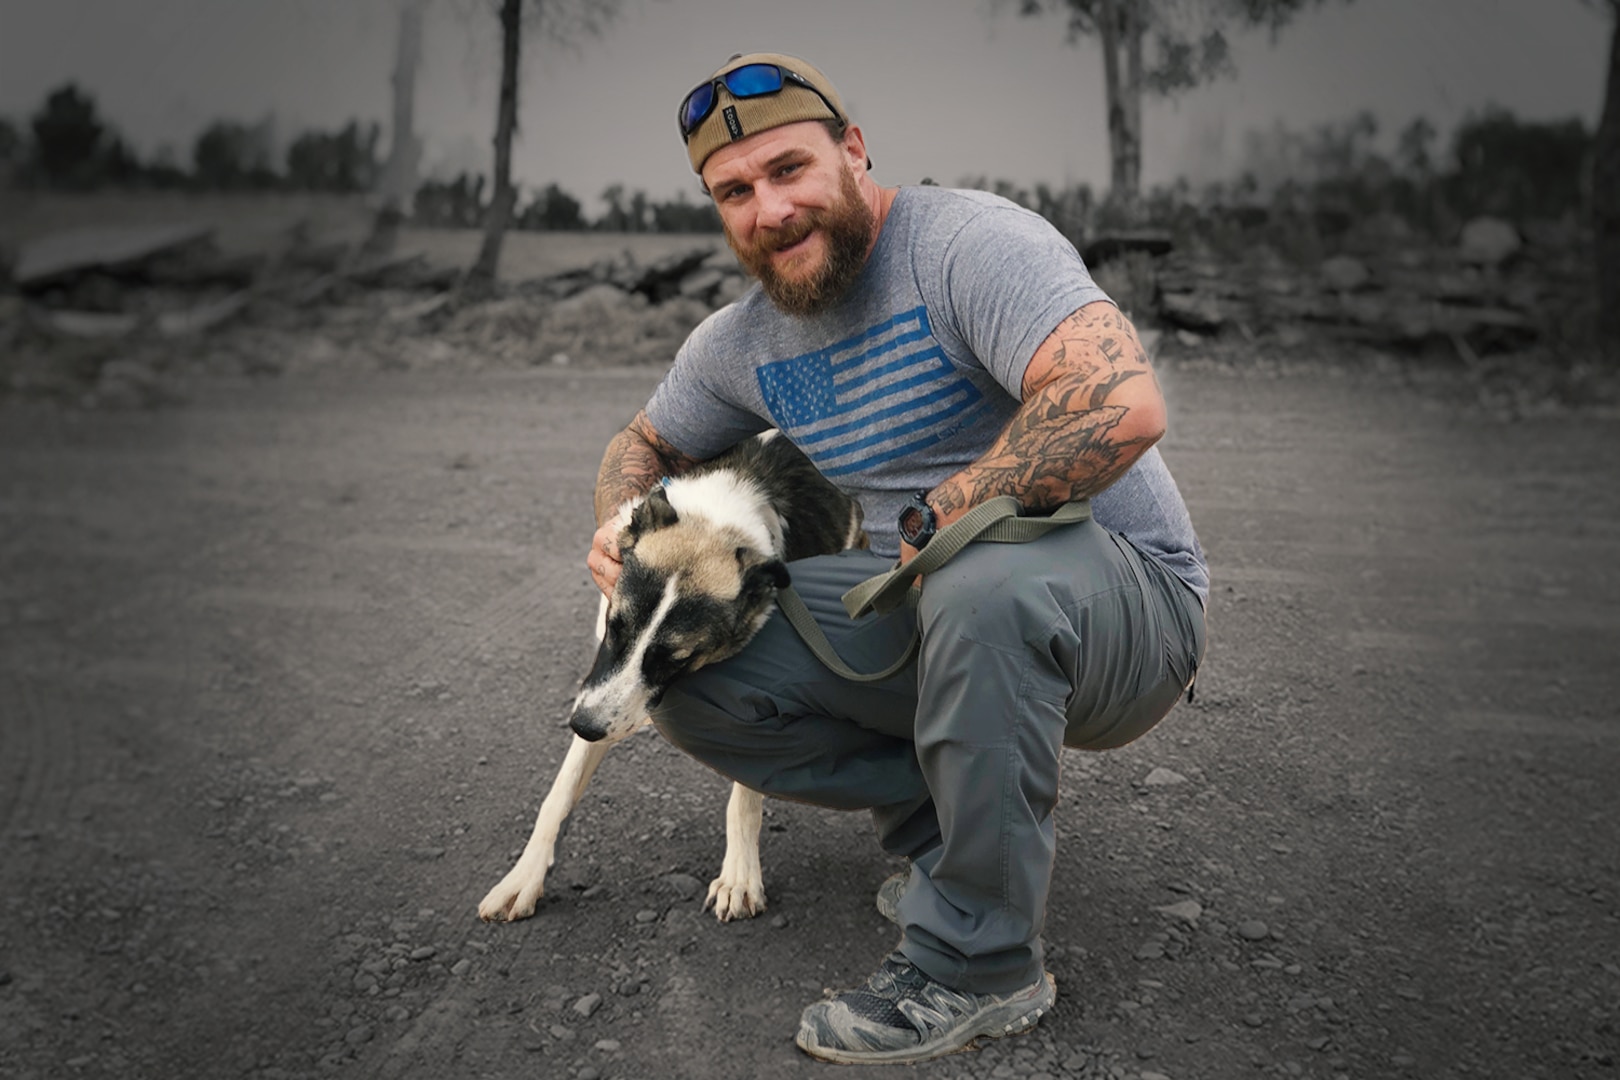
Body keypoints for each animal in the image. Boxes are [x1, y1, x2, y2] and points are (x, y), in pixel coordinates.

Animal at [473, 433, 868, 926]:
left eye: (674, 659)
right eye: (615, 625)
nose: (583, 727)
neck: (718, 520)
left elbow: (746, 796)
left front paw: (739, 877)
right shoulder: (599, 688)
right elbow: (559, 793)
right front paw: (523, 878)